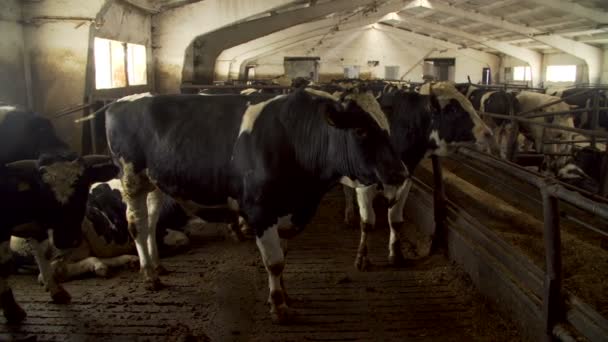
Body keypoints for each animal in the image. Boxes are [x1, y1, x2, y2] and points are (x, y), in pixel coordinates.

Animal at [0, 105, 118, 322]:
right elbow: (4, 265)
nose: (67, 240)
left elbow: (43, 254)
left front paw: (56, 291)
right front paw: (12, 309)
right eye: (44, 191)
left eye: (83, 188)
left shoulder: (37, 224)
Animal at [104, 89, 408, 324]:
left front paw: (286, 296)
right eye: (360, 130)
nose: (401, 173)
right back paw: (149, 275)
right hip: (131, 179)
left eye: (387, 129)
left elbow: (284, 258)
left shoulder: (286, 211)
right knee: (138, 225)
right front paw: (279, 307)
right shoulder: (260, 210)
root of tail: (119, 101)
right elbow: (274, 262)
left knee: (152, 222)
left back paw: (157, 266)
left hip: (154, 183)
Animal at [342, 82, 498, 270]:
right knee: (347, 192)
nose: (488, 133)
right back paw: (349, 215)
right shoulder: (365, 185)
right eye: (452, 109)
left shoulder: (406, 180)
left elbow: (395, 219)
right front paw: (362, 258)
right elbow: (367, 223)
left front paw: (396, 255)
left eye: (469, 102)